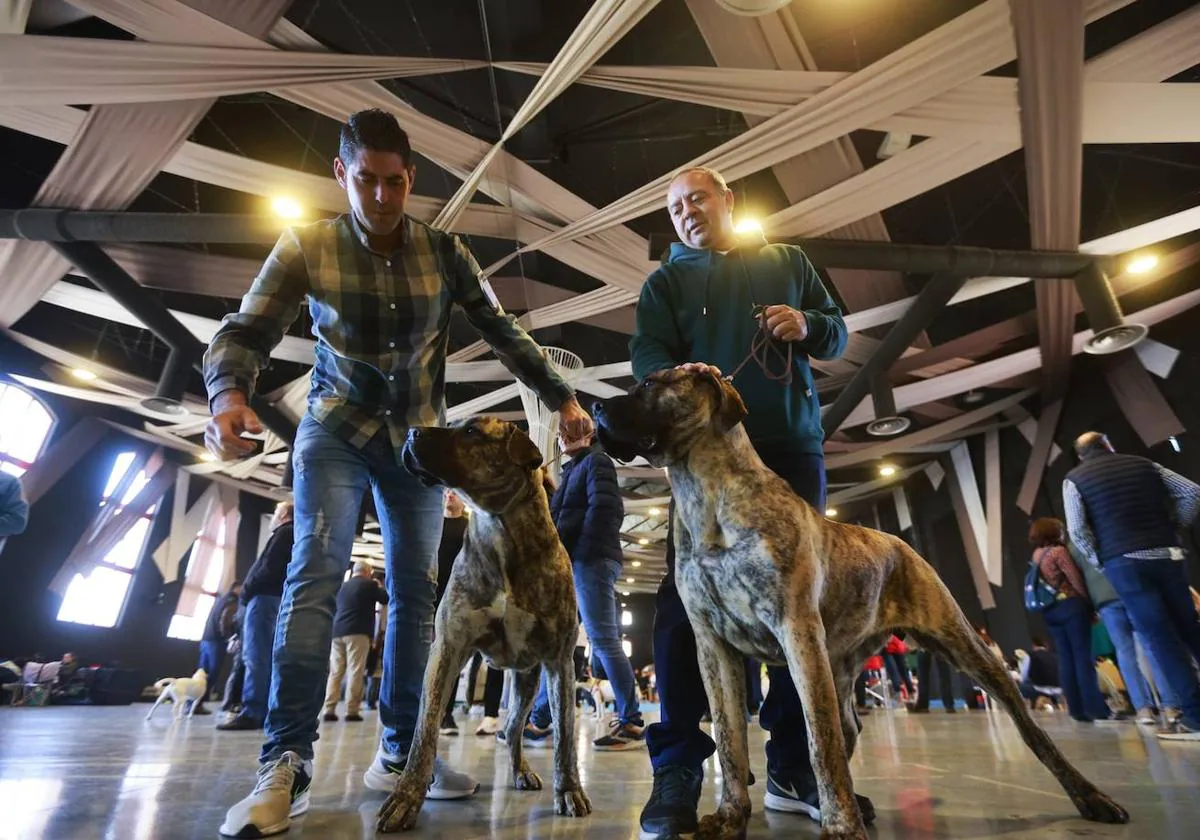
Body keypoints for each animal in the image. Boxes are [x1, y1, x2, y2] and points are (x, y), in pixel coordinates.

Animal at [374, 420, 590, 835]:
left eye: (473, 431)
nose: (412, 433)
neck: (499, 528)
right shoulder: (449, 648)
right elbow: (423, 732)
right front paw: (406, 796)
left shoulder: (560, 661)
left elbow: (566, 737)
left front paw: (570, 790)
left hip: (527, 682)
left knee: (514, 731)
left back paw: (522, 771)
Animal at [595, 369, 1128, 840]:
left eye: (649, 384)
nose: (598, 408)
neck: (706, 496)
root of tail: (897, 542)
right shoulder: (713, 648)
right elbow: (730, 742)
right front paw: (730, 817)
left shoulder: (796, 630)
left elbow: (819, 742)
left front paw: (840, 826)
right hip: (842, 665)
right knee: (846, 729)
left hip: (966, 648)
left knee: (1031, 732)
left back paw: (1092, 797)